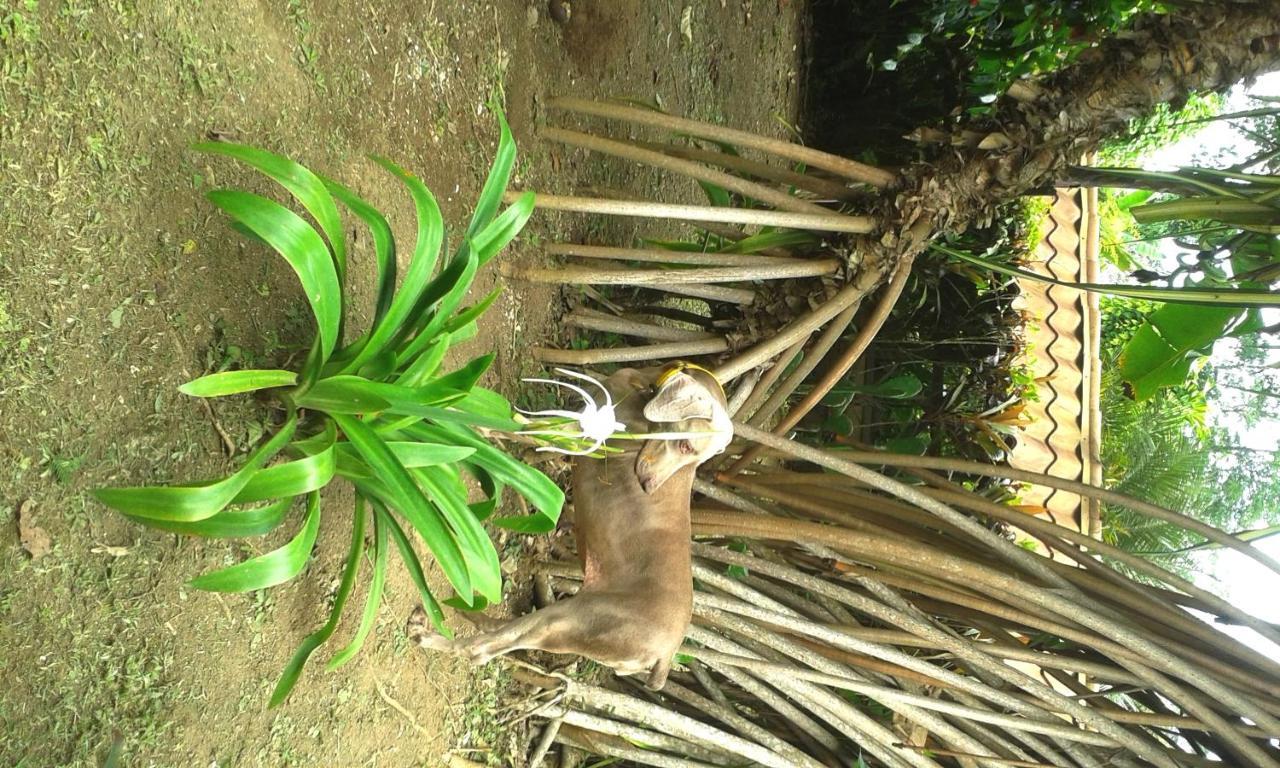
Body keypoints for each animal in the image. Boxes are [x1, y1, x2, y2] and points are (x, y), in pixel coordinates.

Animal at [409, 363, 732, 686]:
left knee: (481, 649)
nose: (648, 487)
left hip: (571, 618)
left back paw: (427, 634)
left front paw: (443, 407)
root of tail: (665, 657)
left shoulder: (580, 434)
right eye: (686, 446)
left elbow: (515, 427)